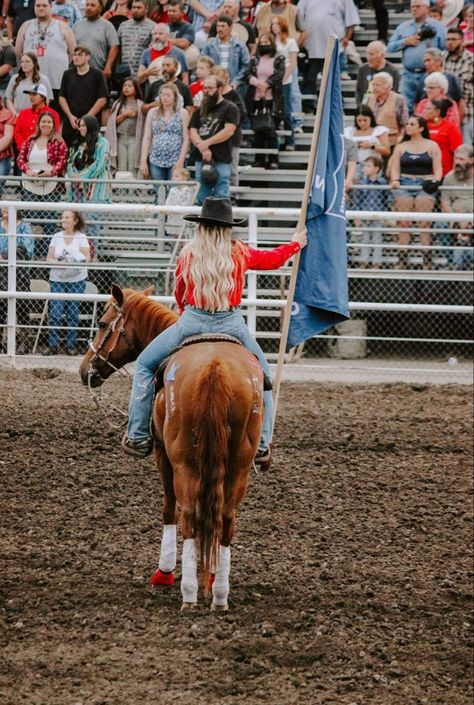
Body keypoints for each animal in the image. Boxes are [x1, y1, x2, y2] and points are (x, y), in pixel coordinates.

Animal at [78, 284, 262, 608]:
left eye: (102, 323)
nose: (85, 370)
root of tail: (214, 367)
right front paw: (209, 576)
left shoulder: (163, 455)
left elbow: (168, 509)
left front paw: (164, 573)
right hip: (238, 465)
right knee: (225, 518)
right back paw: (219, 593)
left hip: (183, 460)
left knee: (187, 513)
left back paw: (187, 591)